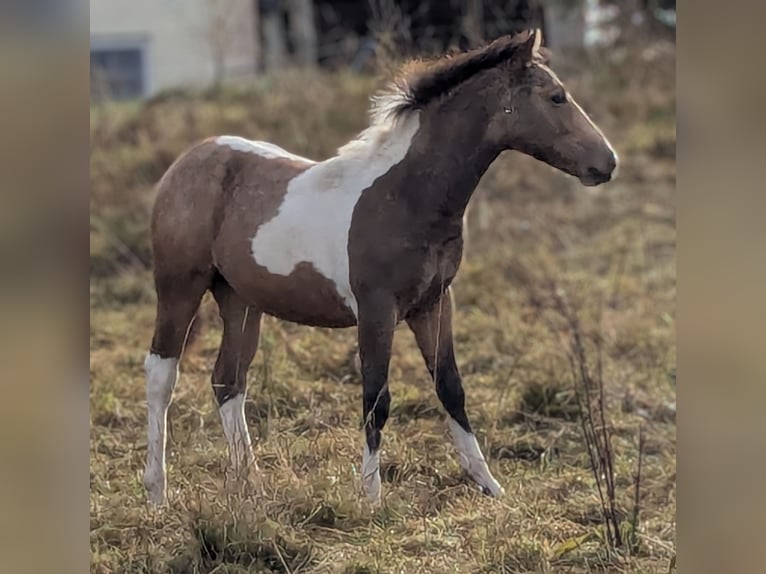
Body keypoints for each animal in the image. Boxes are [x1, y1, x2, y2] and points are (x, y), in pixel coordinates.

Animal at [142, 29, 617, 506]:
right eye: (556, 96)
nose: (608, 162)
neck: (406, 196)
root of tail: (186, 161)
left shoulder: (434, 304)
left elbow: (451, 387)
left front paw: (490, 485)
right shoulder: (376, 309)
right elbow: (376, 396)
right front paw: (371, 496)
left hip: (240, 299)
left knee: (228, 381)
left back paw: (252, 485)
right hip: (179, 286)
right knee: (162, 374)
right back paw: (158, 492)